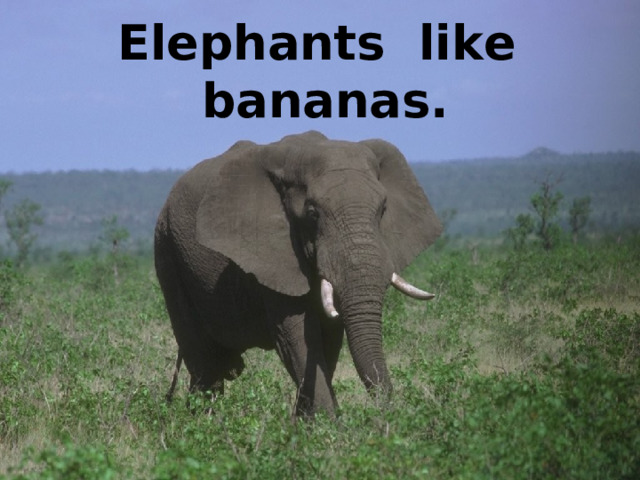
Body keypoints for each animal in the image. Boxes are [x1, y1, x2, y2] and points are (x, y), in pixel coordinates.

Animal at [155, 131, 442, 417]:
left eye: (383, 210)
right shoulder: (273, 254)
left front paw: (306, 425)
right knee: (204, 363)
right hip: (169, 252)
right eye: (312, 213)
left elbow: (328, 339)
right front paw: (329, 425)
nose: (387, 414)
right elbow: (298, 337)